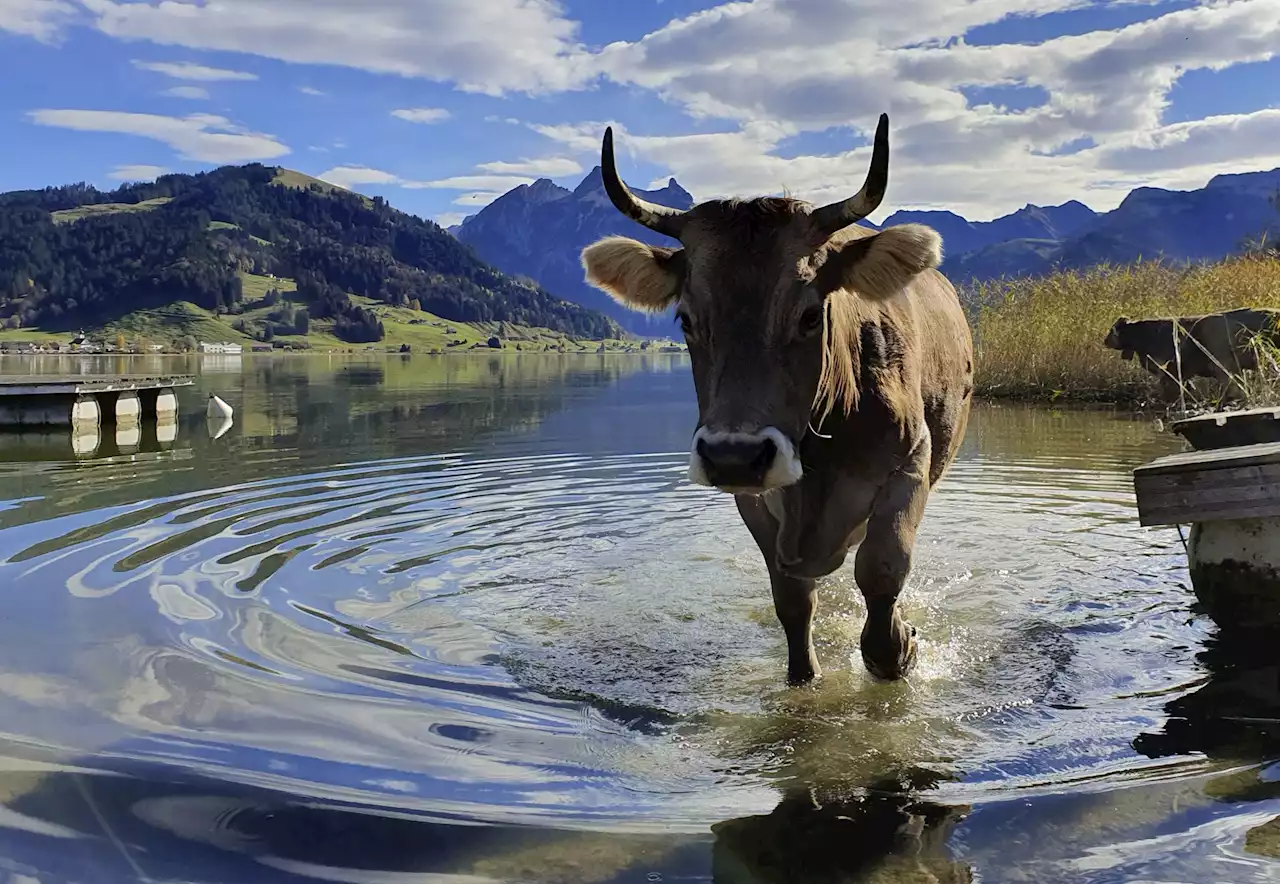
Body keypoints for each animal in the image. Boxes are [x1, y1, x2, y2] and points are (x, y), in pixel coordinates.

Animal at [576, 115, 972, 685]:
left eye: (809, 315)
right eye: (686, 319)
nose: (732, 455)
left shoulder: (912, 461)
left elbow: (881, 569)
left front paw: (901, 645)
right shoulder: (754, 499)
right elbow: (791, 599)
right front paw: (803, 677)